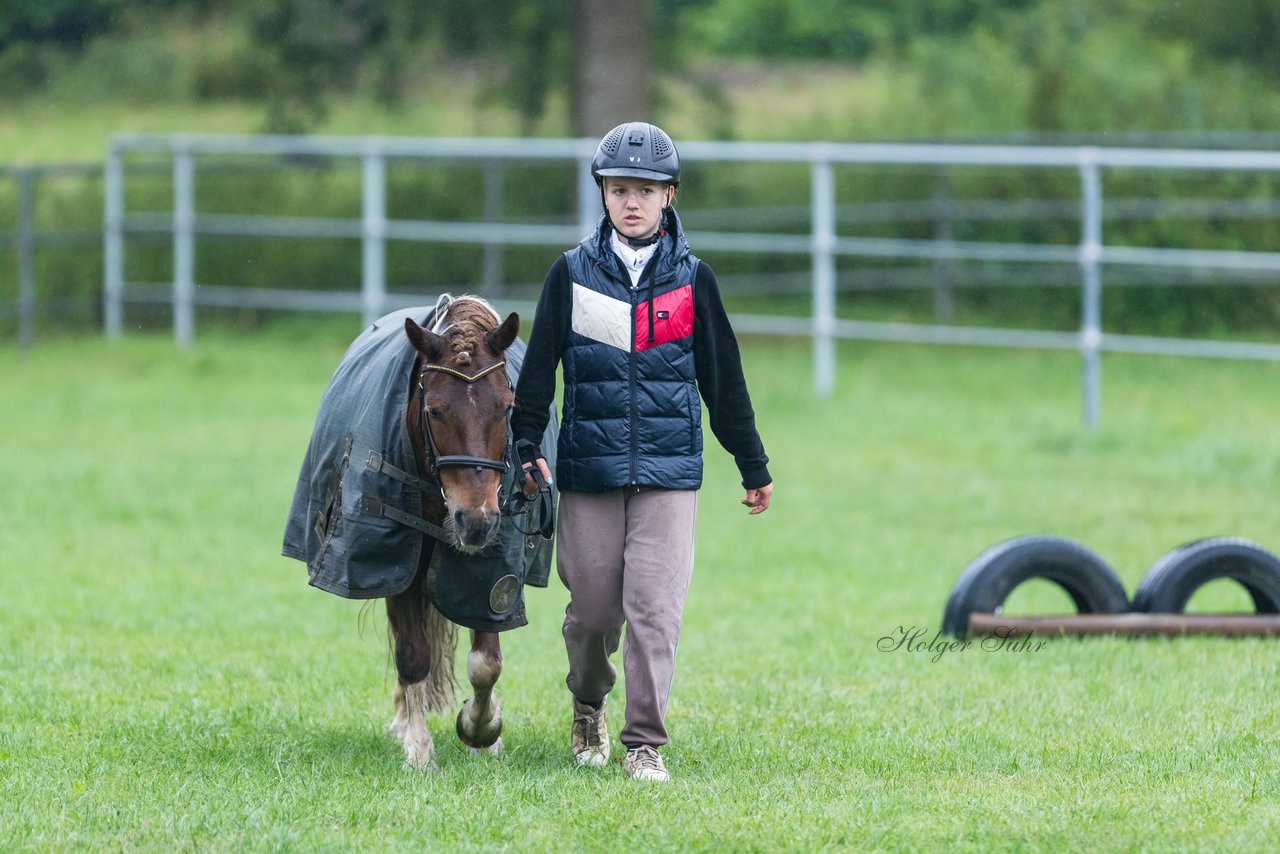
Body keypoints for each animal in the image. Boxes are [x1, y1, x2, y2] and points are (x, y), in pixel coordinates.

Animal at [391, 297, 522, 773]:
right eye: (434, 412)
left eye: (507, 407)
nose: (477, 521)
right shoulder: (399, 565)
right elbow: (413, 655)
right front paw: (418, 749)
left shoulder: (493, 574)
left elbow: (486, 663)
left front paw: (481, 729)